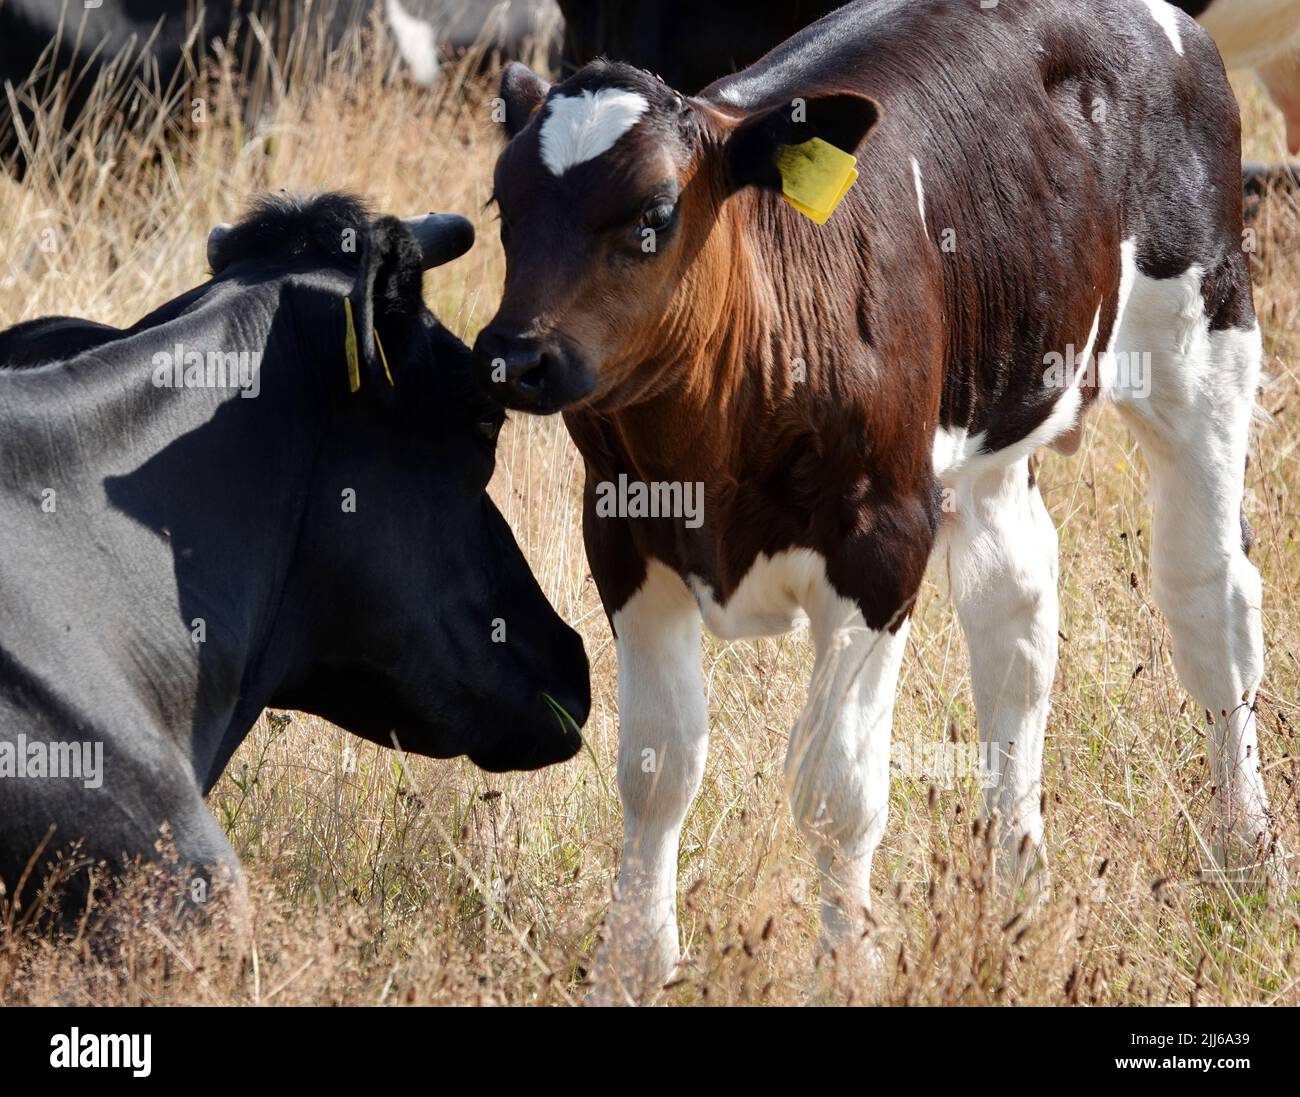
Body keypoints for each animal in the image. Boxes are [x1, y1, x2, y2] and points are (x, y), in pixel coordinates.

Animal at [476, 0, 1281, 1000]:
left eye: (654, 215)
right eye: (505, 209)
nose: (516, 354)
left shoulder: (881, 540)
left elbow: (838, 790)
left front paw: (847, 963)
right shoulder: (624, 533)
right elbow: (657, 768)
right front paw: (632, 962)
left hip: (1206, 337)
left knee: (1210, 602)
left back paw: (1245, 852)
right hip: (995, 403)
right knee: (1017, 610)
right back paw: (1018, 882)